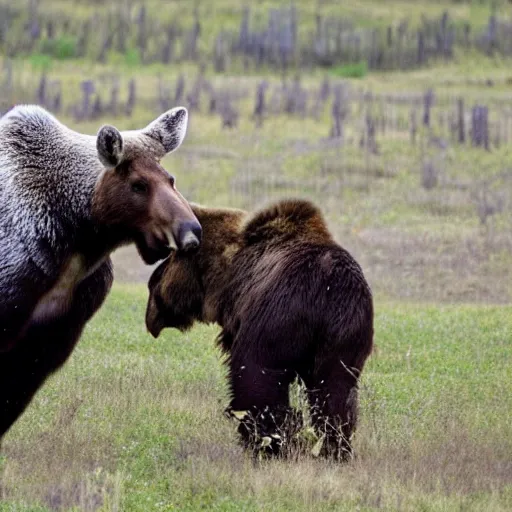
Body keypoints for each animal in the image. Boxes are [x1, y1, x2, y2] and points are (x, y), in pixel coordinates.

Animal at [144, 197, 372, 460]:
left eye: (170, 258)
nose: (152, 282)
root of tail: (329, 286)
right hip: (345, 336)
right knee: (335, 393)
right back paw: (332, 448)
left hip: (282, 316)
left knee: (260, 377)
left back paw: (267, 441)